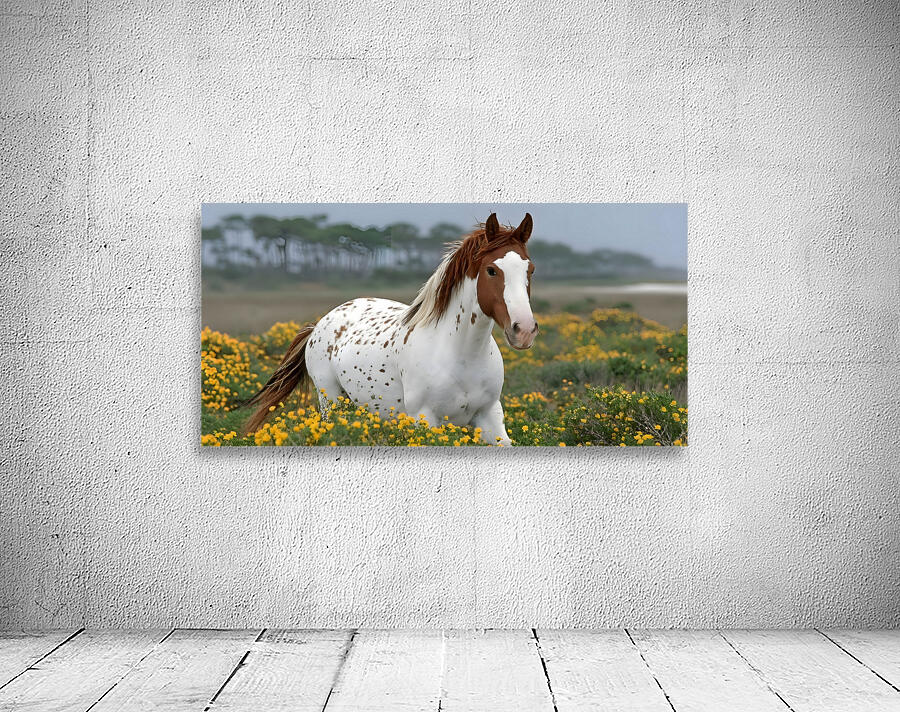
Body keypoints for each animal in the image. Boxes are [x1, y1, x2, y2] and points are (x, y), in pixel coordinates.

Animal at [243, 213, 539, 445]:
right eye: (491, 270)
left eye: (531, 270)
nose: (523, 330)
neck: (461, 354)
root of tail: (319, 325)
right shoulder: (425, 420)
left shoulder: (490, 418)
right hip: (332, 402)